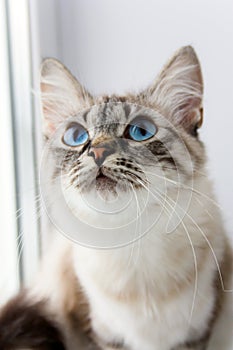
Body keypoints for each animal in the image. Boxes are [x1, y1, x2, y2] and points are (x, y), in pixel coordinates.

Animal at [0, 45, 233, 350]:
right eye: (76, 136)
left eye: (140, 132)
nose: (98, 153)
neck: (132, 242)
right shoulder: (103, 335)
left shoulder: (196, 334)